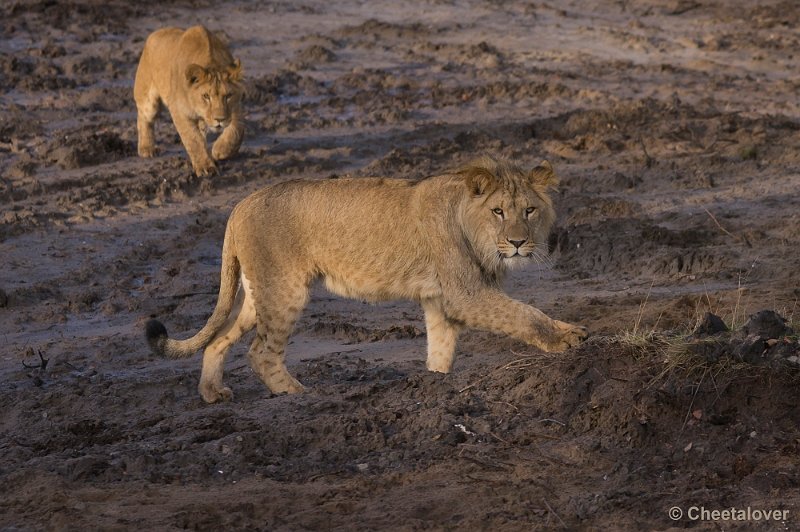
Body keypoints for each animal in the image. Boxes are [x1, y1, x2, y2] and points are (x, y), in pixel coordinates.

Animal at [134, 26, 244, 177]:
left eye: (228, 96)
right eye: (206, 96)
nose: (220, 119)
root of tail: (155, 33)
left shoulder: (235, 107)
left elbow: (238, 129)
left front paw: (221, 150)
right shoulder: (179, 110)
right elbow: (193, 139)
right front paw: (205, 167)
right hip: (148, 99)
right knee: (143, 117)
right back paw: (147, 148)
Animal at [145, 156, 588, 402]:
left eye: (529, 210)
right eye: (498, 211)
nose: (518, 243)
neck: (469, 221)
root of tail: (240, 205)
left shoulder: (440, 300)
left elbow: (441, 347)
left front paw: (435, 381)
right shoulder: (466, 293)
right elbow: (525, 314)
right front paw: (568, 337)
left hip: (258, 292)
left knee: (218, 339)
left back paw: (211, 393)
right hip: (285, 289)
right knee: (260, 352)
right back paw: (296, 393)